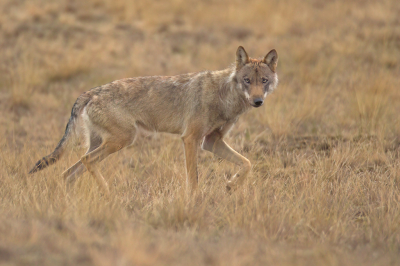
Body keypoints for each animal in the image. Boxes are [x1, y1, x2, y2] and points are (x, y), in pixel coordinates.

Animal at [28, 46, 278, 193]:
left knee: (67, 173)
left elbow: (247, 163)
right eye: (247, 80)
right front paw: (194, 204)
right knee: (85, 162)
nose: (257, 101)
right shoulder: (191, 139)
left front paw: (231, 185)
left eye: (264, 81)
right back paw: (108, 193)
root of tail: (89, 92)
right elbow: (193, 180)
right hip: (123, 139)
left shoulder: (211, 141)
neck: (225, 96)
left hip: (105, 143)